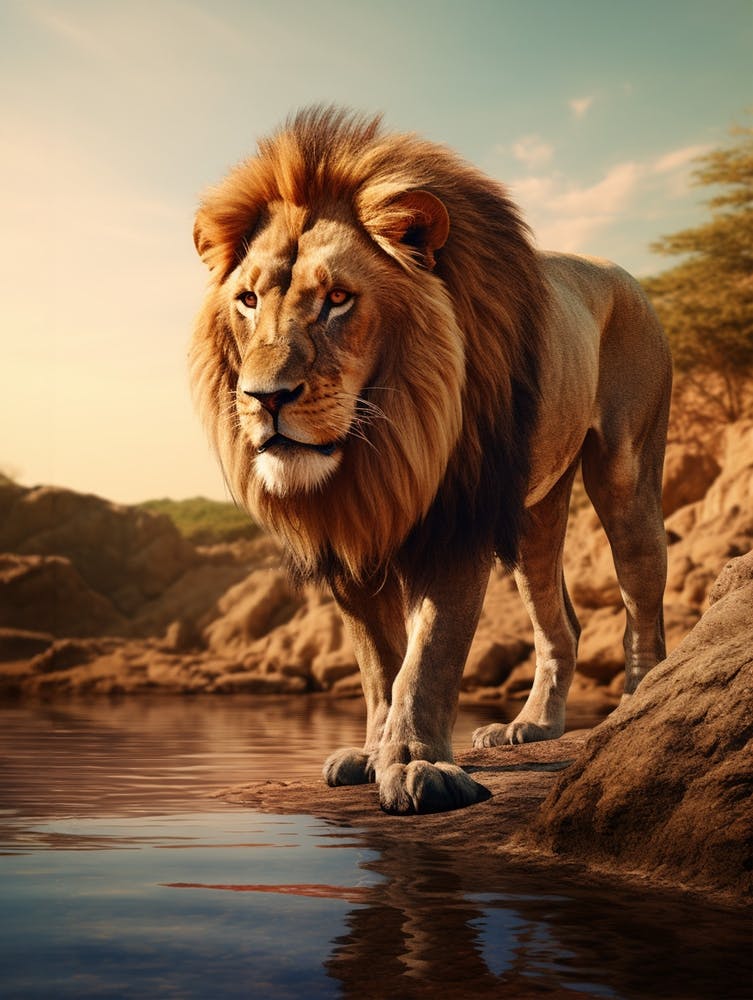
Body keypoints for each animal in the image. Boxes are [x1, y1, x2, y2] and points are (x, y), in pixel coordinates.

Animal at [190, 107, 672, 814]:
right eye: (248, 301)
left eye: (337, 299)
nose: (264, 397)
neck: (380, 450)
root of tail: (623, 272)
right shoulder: (345, 543)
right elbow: (379, 664)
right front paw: (372, 754)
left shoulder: (457, 519)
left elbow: (430, 657)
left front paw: (419, 765)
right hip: (534, 516)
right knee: (561, 622)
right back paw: (532, 726)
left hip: (626, 476)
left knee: (640, 597)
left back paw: (637, 707)